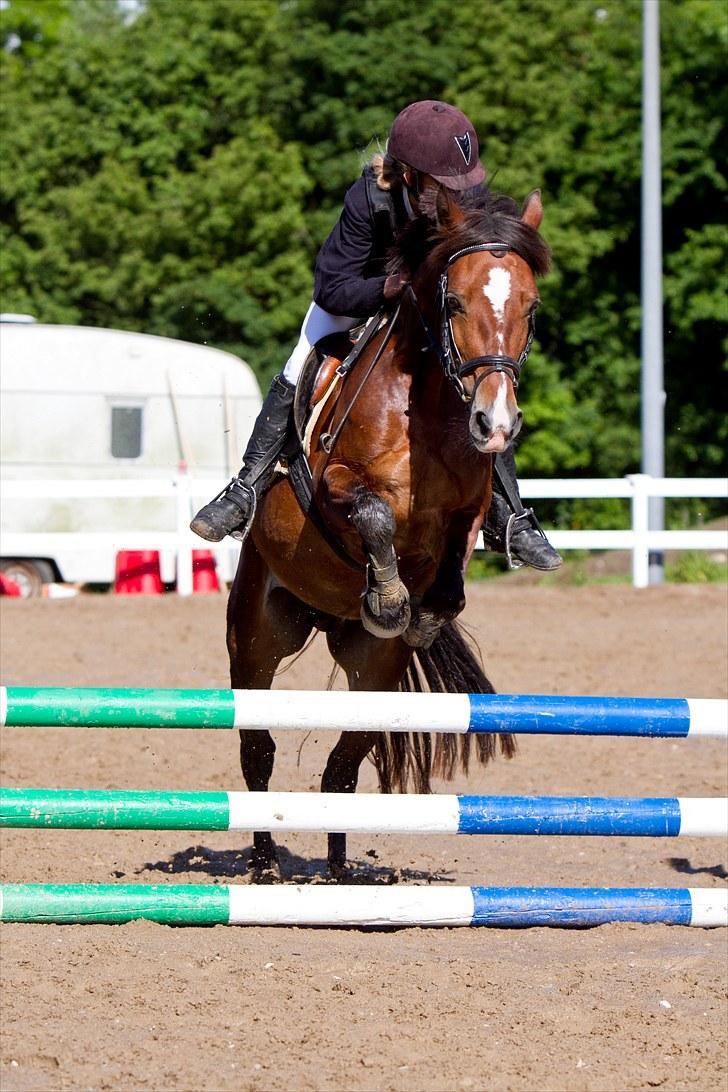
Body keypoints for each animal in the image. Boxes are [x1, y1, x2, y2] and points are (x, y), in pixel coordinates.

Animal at [228, 181, 552, 877]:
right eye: (453, 301)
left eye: (531, 308)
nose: (497, 423)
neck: (425, 409)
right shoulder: (334, 486)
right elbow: (374, 513)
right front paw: (390, 598)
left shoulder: (467, 511)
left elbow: (453, 571)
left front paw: (420, 612)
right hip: (259, 636)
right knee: (258, 752)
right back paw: (266, 866)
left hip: (371, 667)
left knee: (342, 770)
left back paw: (339, 874)